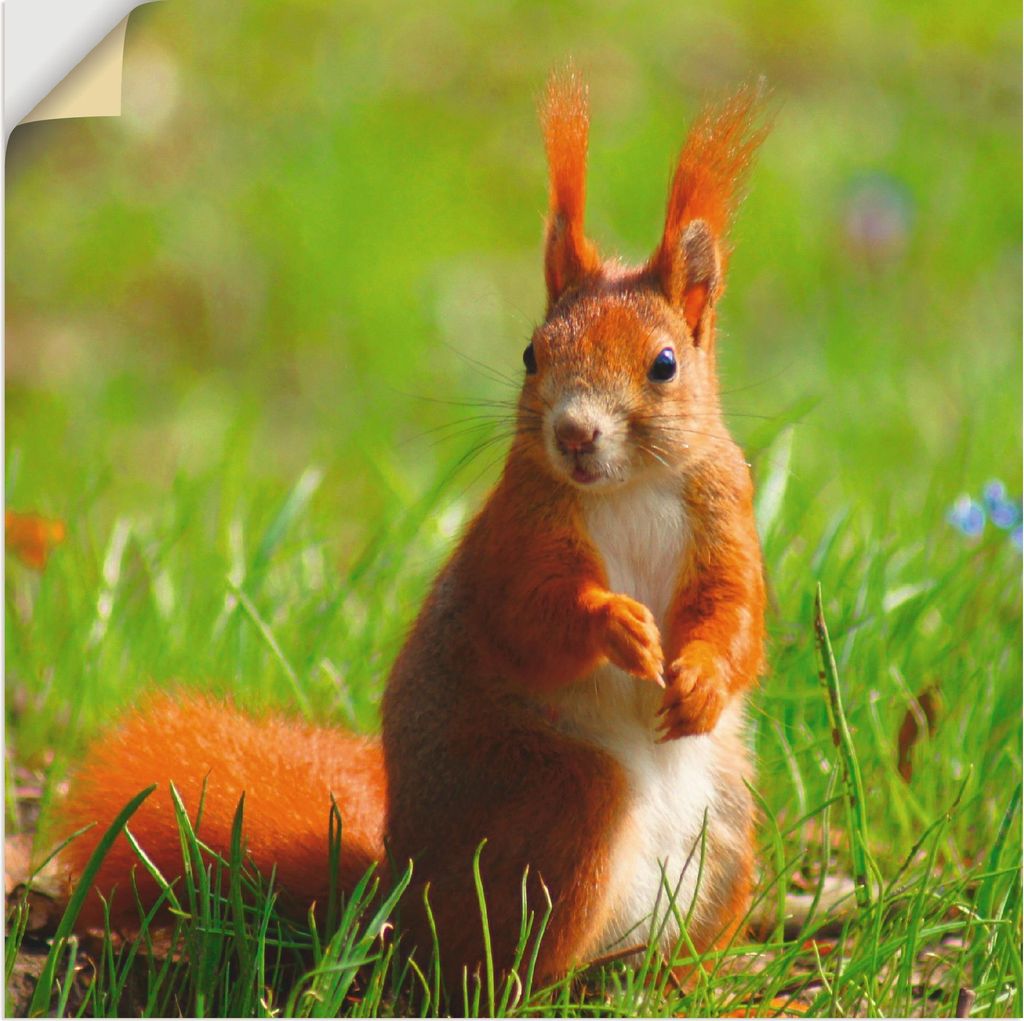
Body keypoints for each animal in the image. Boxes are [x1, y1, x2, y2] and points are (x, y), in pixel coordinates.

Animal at [52, 71, 769, 987]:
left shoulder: (726, 514)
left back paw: (700, 981)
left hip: (727, 827)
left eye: (665, 364)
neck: (630, 487)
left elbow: (736, 615)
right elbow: (528, 615)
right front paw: (616, 623)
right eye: (533, 353)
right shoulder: (517, 534)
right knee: (501, 962)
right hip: (560, 799)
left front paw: (703, 678)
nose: (574, 433)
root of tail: (395, 898)